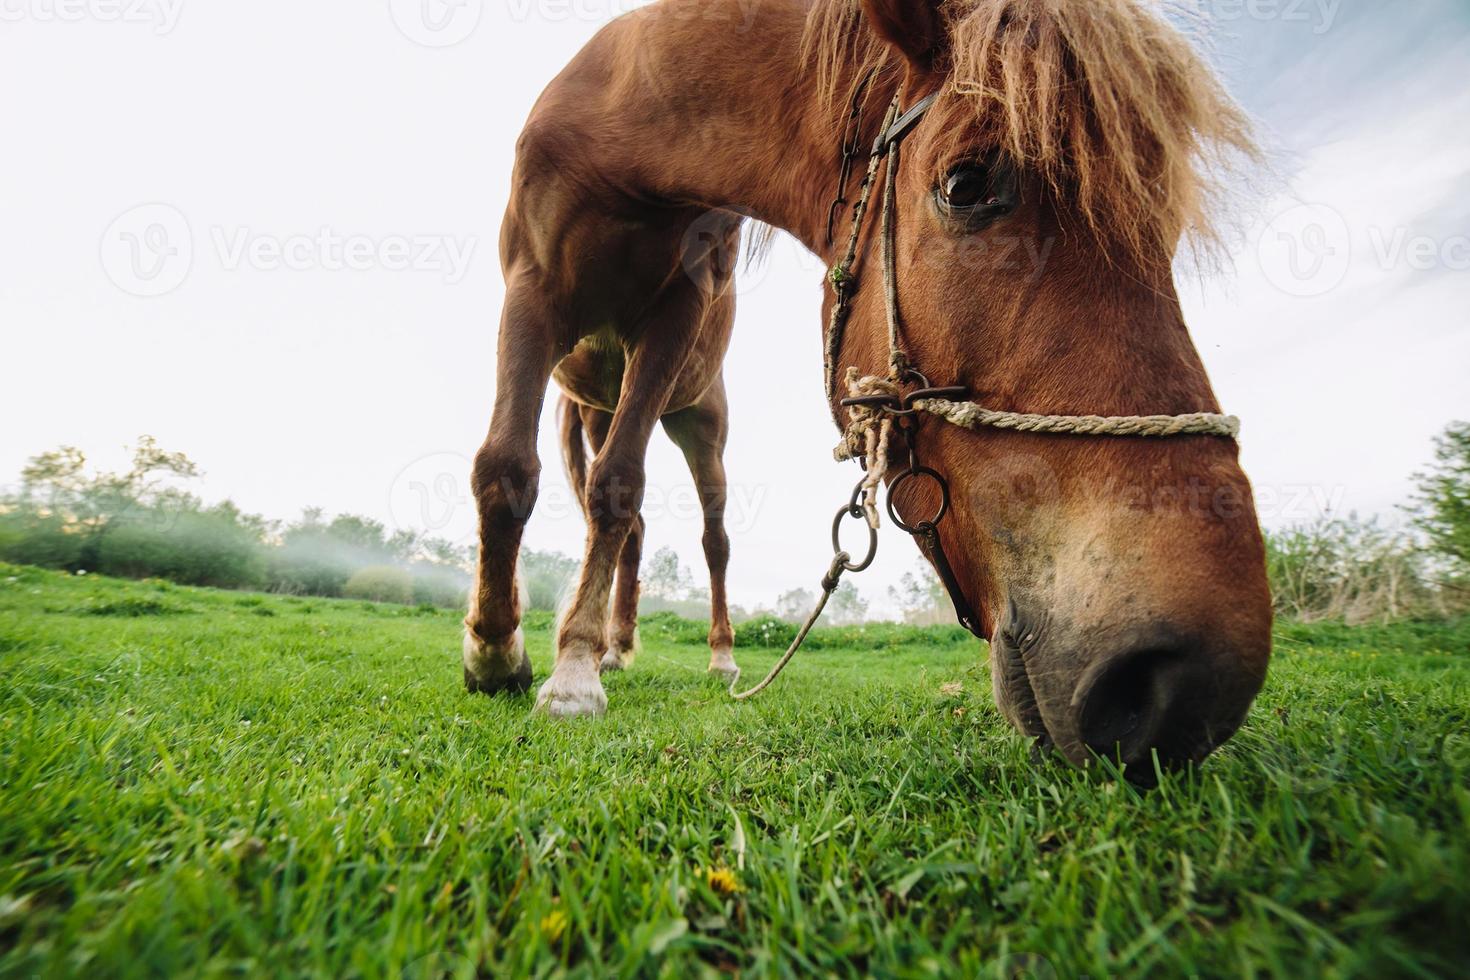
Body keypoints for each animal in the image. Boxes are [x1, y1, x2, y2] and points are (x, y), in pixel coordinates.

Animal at [467, 0, 1275, 775]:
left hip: (698, 422)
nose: (1194, 682)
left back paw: (708, 654)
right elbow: (509, 471)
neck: (630, 133)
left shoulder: (671, 323)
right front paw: (502, 653)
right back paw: (608, 646)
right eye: (965, 185)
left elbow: (618, 488)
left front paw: (563, 668)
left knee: (707, 537)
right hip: (590, 409)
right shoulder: (530, 293)